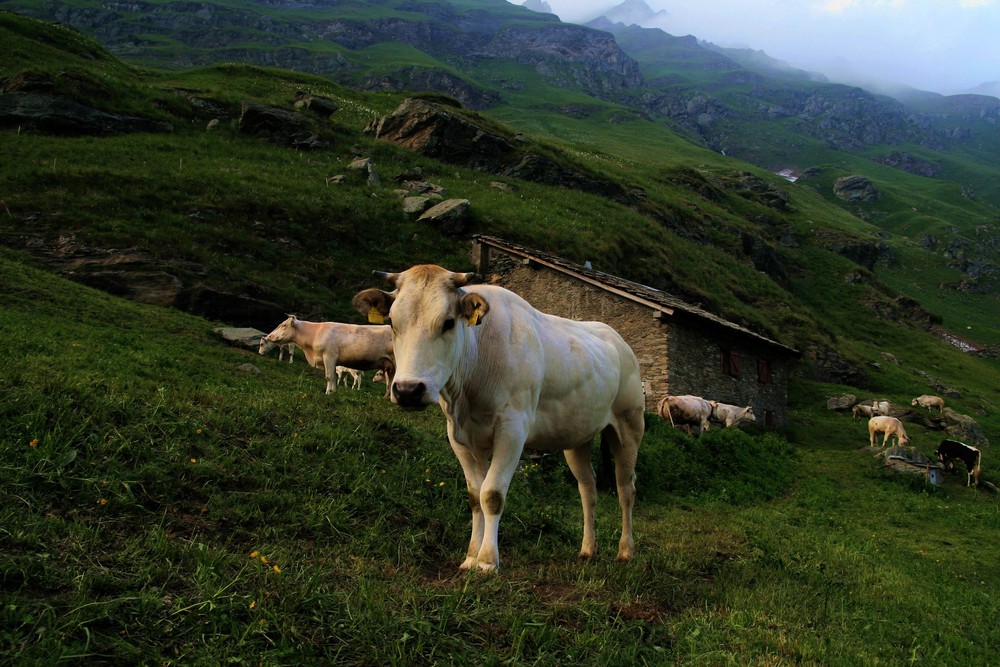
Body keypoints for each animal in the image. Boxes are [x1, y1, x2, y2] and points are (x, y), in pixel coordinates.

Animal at [260, 314, 392, 394]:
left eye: (283, 325)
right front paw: (332, 392)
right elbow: (333, 377)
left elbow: (328, 376)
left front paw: (327, 392)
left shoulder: (329, 356)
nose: (270, 336)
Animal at [356, 264, 644, 572]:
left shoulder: (512, 430)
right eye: (392, 323)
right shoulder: (459, 436)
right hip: (578, 435)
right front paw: (470, 556)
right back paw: (588, 549)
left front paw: (486, 561)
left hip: (629, 425)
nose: (408, 390)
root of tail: (616, 337)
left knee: (625, 487)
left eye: (448, 323)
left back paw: (626, 552)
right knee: (588, 487)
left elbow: (491, 494)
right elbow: (475, 495)